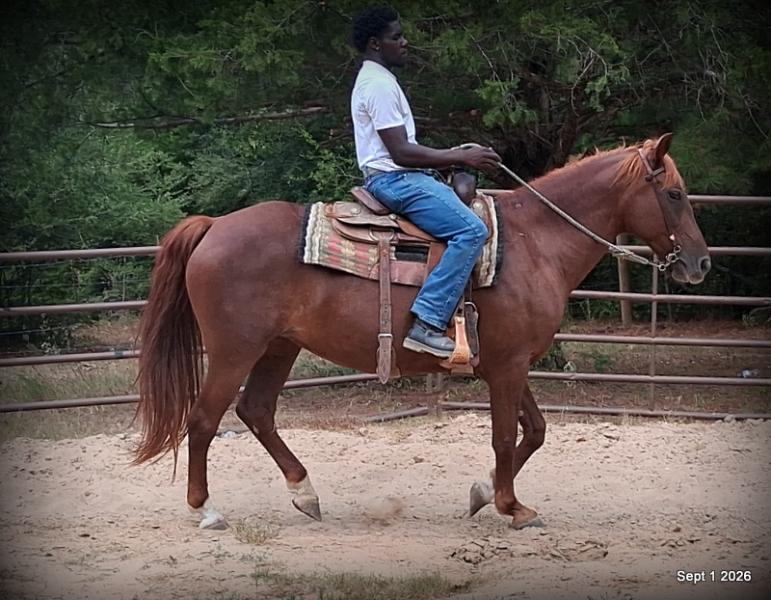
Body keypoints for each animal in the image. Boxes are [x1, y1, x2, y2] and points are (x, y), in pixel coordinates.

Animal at [133, 133, 710, 530]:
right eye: (674, 194)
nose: (700, 264)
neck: (535, 241)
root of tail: (213, 226)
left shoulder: (508, 361)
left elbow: (536, 431)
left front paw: (483, 493)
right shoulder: (507, 366)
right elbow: (506, 436)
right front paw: (512, 507)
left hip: (279, 346)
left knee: (256, 411)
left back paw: (305, 493)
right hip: (234, 350)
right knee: (204, 420)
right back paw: (208, 510)